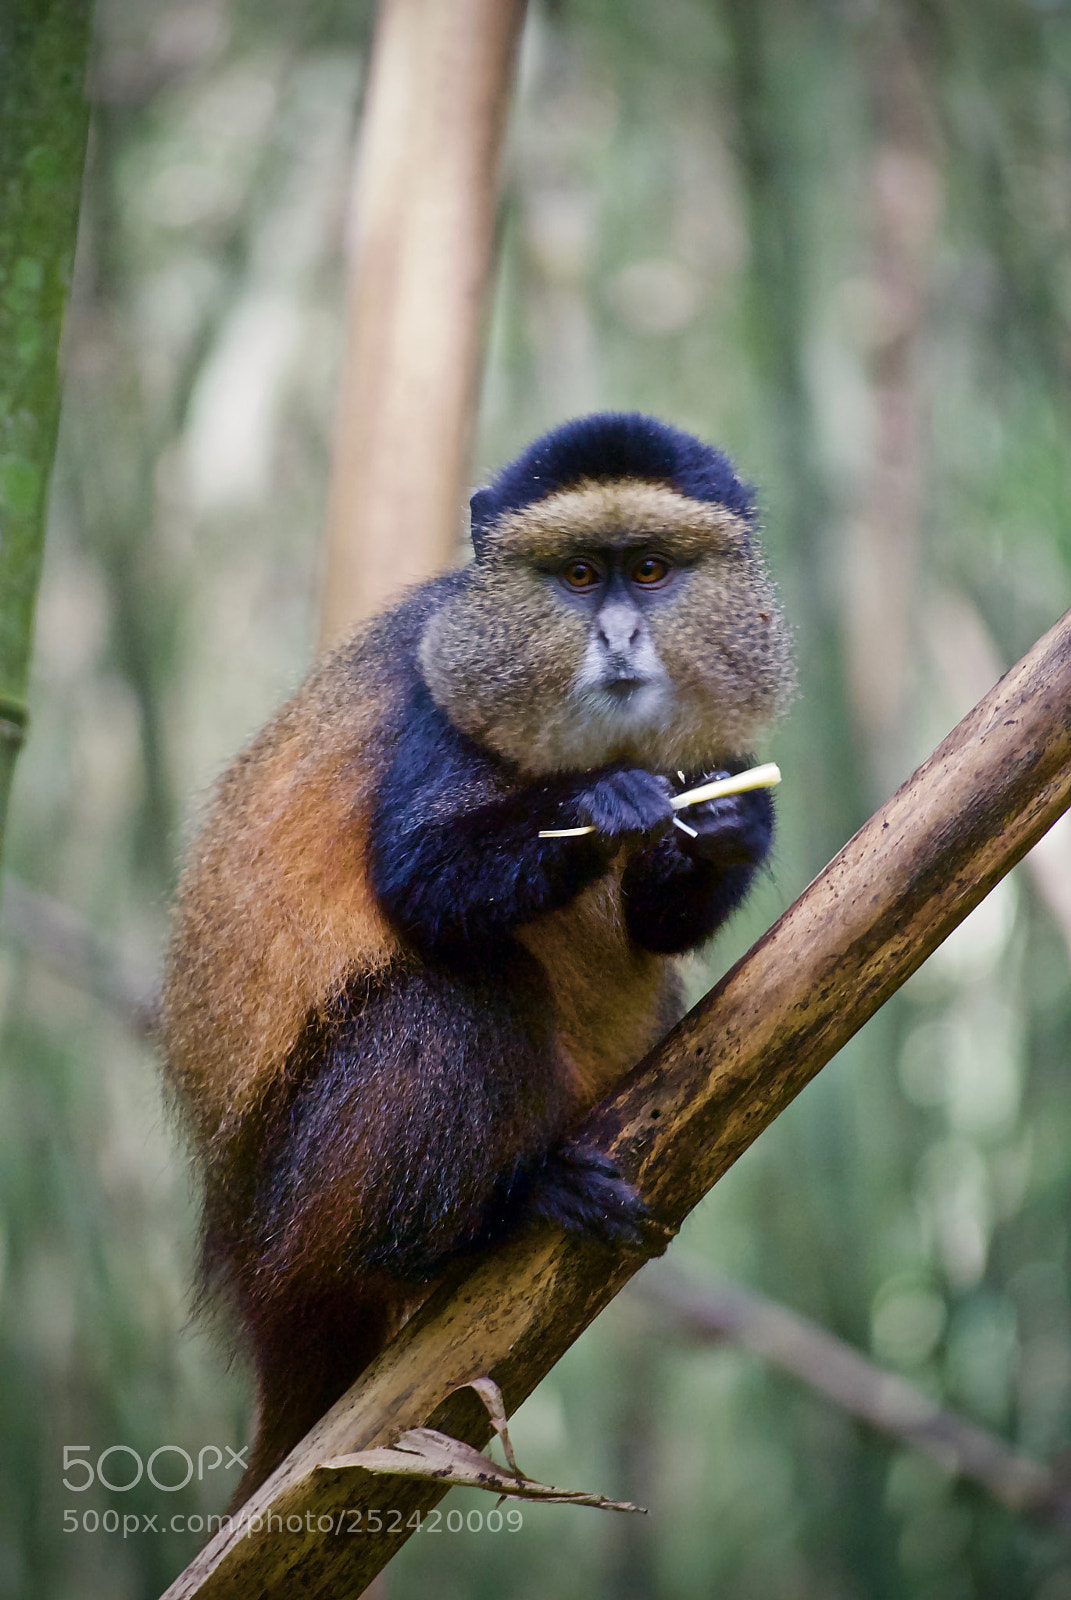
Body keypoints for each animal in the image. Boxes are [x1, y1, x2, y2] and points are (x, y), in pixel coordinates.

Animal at [161, 411, 794, 1504]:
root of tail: (249, 1265)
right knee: (452, 999)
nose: (619, 637)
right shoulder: (438, 708)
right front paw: (604, 807)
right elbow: (419, 883)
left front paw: (734, 819)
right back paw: (493, 1215)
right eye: (579, 576)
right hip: (305, 1206)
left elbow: (664, 924)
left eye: (652, 571)